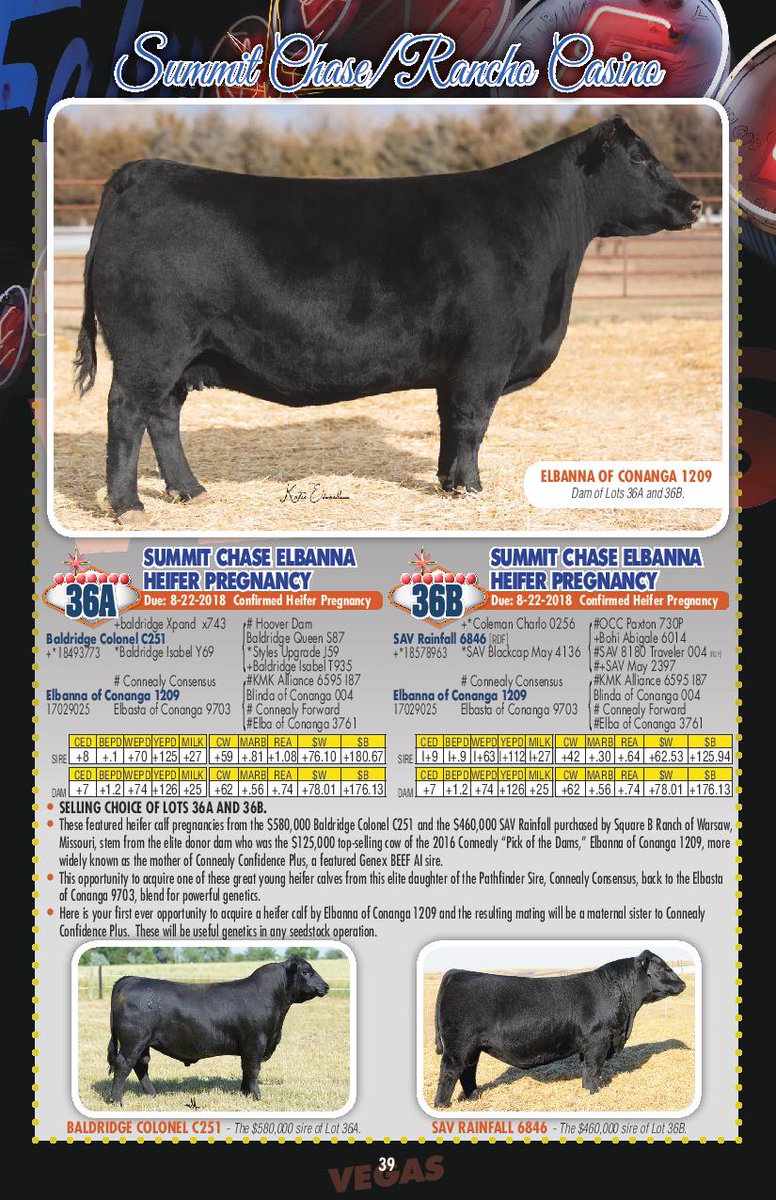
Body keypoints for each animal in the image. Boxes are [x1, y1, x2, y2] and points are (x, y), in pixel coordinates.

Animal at [73, 116, 702, 525]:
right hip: (151, 347)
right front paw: (472, 490)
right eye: (641, 159)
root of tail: (139, 172)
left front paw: (449, 484)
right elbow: (472, 424)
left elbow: (449, 424)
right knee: (126, 413)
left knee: (163, 416)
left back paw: (190, 491)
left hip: (184, 354)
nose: (695, 203)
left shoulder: (457, 368)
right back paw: (129, 506)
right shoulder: (485, 358)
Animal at [105, 955, 329, 1104]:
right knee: (123, 1065)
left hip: (143, 1043)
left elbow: (245, 1069)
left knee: (141, 1066)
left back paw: (152, 1094)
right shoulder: (256, 1041)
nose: (326, 986)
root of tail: (131, 979)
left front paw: (244, 1093)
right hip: (133, 1041)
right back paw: (116, 1100)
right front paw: (256, 1096)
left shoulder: (248, 1047)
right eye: (306, 972)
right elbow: (253, 1069)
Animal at [433, 950, 686, 1106]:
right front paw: (594, 1092)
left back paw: (474, 1096)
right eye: (661, 968)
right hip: (458, 1045)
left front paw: (586, 1091)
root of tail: (457, 972)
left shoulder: (588, 1044)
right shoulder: (598, 1040)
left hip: (471, 1048)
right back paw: (442, 1105)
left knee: (468, 1071)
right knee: (449, 1072)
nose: (682, 984)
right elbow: (594, 1069)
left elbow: (586, 1069)